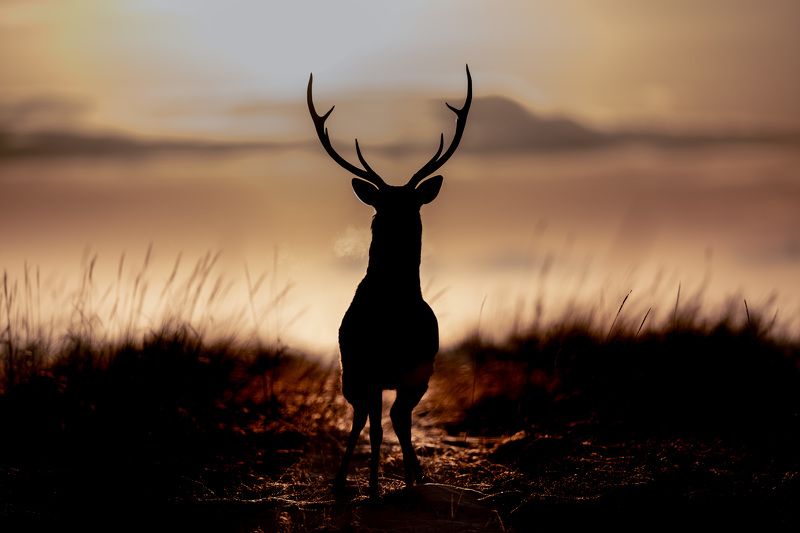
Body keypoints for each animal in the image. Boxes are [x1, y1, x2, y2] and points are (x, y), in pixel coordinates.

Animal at [307, 66, 472, 496]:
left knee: (392, 419)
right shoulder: (362, 368)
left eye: (413, 204)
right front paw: (370, 484)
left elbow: (401, 422)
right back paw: (349, 480)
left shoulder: (419, 371)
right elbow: (373, 427)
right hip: (354, 374)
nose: (396, 219)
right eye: (381, 205)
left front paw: (413, 476)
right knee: (364, 422)